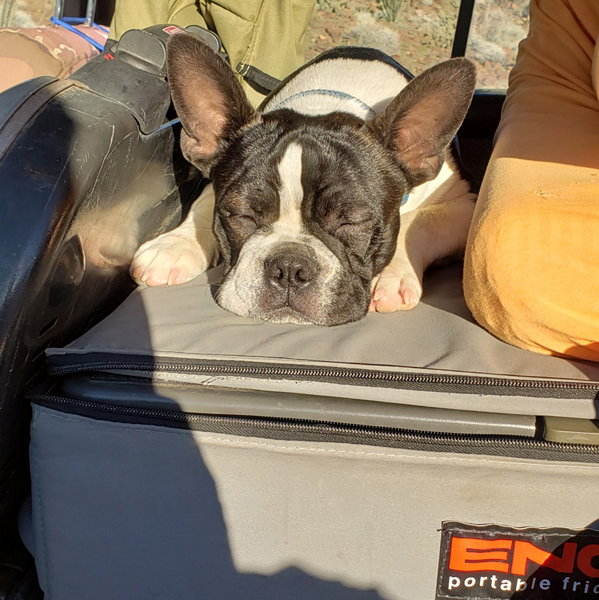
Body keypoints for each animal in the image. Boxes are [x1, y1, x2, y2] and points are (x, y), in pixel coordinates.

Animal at [131, 35, 478, 326]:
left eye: (352, 221)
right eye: (240, 214)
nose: (289, 267)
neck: (323, 105)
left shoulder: (463, 207)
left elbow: (415, 222)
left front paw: (390, 274)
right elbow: (204, 201)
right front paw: (174, 244)